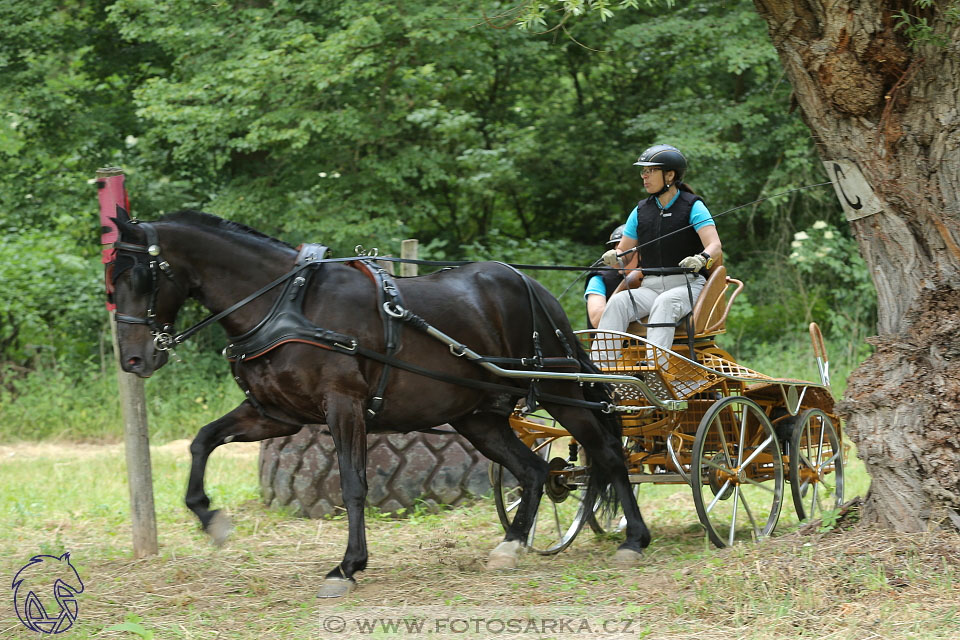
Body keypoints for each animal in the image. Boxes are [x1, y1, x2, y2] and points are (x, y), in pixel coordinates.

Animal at [110, 210, 652, 596]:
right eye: (111, 279)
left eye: (139, 277)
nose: (134, 359)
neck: (286, 303)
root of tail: (532, 285)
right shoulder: (275, 415)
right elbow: (202, 441)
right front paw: (211, 519)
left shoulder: (342, 406)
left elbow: (353, 484)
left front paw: (348, 566)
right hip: (479, 418)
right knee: (535, 471)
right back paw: (511, 545)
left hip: (562, 390)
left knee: (606, 453)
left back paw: (634, 539)